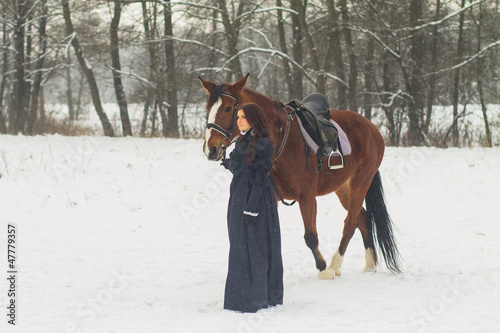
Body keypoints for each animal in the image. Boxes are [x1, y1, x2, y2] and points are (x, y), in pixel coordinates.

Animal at [199, 74, 402, 278]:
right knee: (363, 218)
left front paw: (323, 269)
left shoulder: (307, 197)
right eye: (208, 108)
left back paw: (335, 264)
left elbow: (310, 236)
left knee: (351, 223)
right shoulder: (271, 198)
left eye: (228, 108)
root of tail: (371, 127)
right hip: (343, 188)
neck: (282, 140)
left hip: (361, 182)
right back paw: (369, 264)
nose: (211, 149)